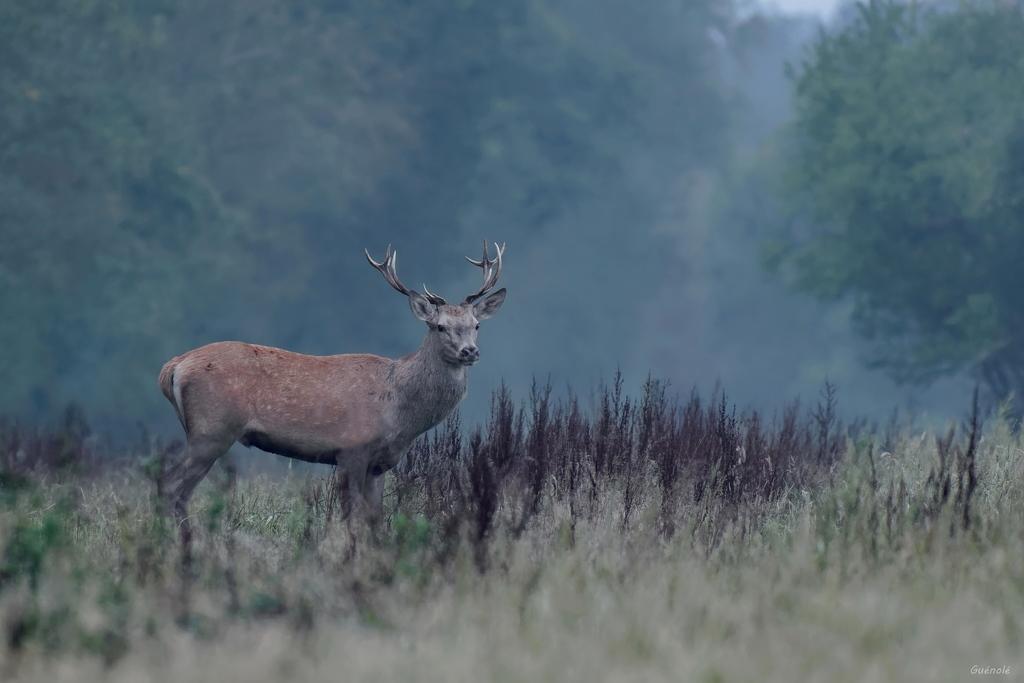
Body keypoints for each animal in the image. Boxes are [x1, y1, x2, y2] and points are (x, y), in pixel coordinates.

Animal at [157, 242, 505, 532]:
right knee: (171, 486)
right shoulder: (351, 449)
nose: (469, 351)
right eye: (440, 326)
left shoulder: (380, 464)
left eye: (475, 325)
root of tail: (173, 366)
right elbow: (351, 516)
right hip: (212, 430)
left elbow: (375, 518)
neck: (399, 412)